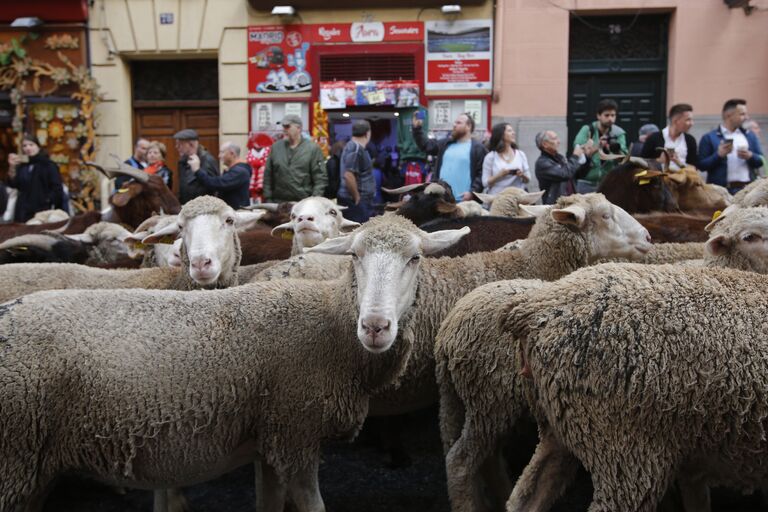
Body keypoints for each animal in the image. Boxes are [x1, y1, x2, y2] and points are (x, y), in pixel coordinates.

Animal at [0, 214, 468, 512]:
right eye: (354, 257)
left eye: (415, 258)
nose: (374, 326)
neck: (331, 324)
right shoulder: (295, 435)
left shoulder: (269, 441)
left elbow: (268, 503)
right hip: (14, 459)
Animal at [438, 204, 768, 512]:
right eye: (750, 237)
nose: (647, 237)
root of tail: (531, 311)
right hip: (621, 449)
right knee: (463, 460)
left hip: (559, 428)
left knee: (524, 496)